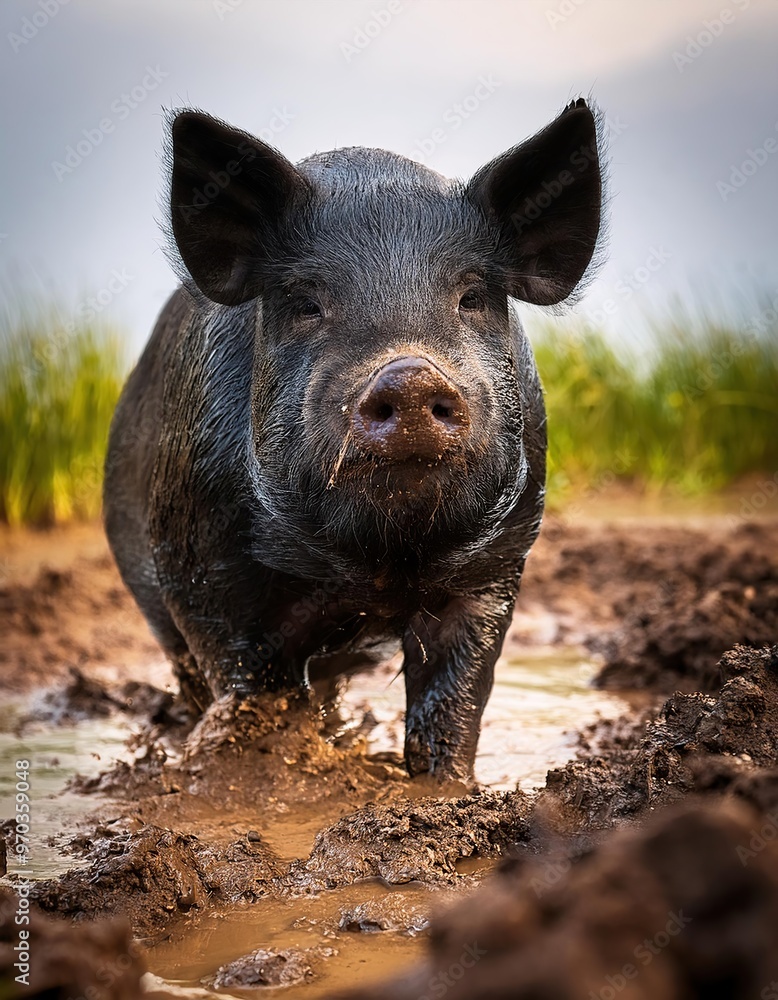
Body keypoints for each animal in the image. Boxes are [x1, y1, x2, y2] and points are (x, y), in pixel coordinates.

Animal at [103, 98, 604, 781]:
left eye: (474, 297)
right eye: (306, 303)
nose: (411, 373)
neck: (378, 563)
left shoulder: (496, 565)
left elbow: (455, 696)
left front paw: (448, 789)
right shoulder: (201, 568)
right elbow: (254, 690)